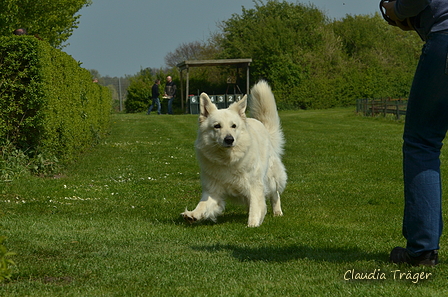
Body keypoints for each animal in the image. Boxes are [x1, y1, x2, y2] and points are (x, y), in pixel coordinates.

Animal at [181, 80, 288, 225]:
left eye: (234, 126)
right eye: (217, 126)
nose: (229, 139)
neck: (227, 160)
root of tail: (261, 125)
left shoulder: (254, 186)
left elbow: (256, 206)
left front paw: (253, 224)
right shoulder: (213, 190)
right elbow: (203, 204)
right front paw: (193, 214)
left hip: (271, 178)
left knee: (275, 194)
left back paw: (277, 212)